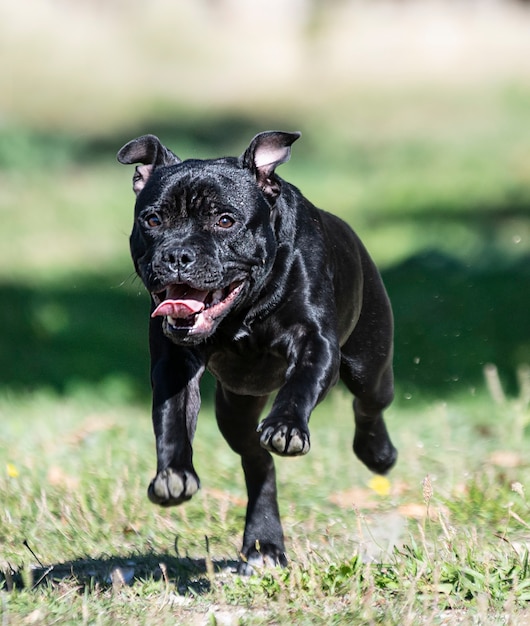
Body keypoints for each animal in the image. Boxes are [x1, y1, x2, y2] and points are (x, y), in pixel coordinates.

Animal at [116, 130, 396, 572]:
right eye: (153, 220)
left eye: (225, 220)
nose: (177, 255)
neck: (243, 312)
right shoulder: (174, 363)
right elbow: (171, 418)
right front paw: (174, 474)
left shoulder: (315, 341)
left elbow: (300, 385)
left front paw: (286, 427)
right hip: (235, 410)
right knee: (257, 462)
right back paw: (264, 542)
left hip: (370, 364)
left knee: (369, 402)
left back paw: (377, 453)